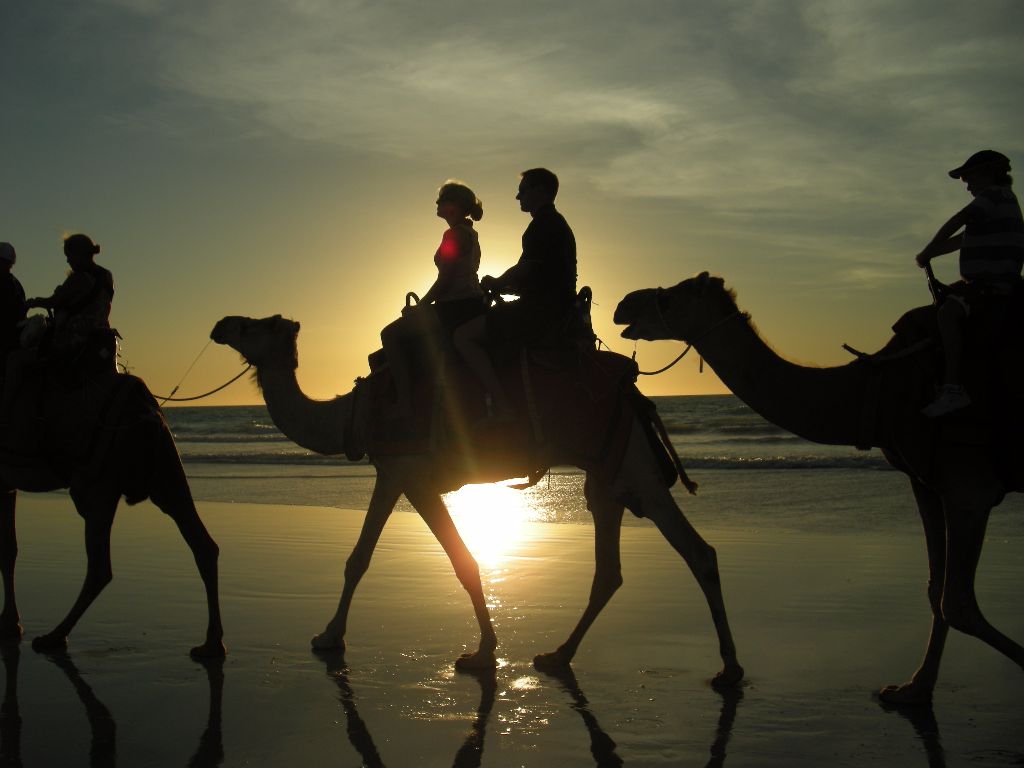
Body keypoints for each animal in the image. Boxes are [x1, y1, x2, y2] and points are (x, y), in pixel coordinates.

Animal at [0, 370, 223, 659]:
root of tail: (145, 405)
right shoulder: (7, 483)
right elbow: (10, 548)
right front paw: (10, 623)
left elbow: (6, 549)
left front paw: (10, 622)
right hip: (165, 474)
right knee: (203, 545)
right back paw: (212, 643)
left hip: (98, 485)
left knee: (100, 567)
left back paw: (55, 635)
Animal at [211, 315, 749, 688]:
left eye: (256, 325)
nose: (221, 325)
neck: (355, 414)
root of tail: (635, 394)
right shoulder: (407, 477)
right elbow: (446, 559)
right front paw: (485, 649)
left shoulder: (404, 472)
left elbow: (381, 558)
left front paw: (329, 636)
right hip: (607, 476)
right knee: (609, 570)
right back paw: (558, 655)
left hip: (637, 473)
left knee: (698, 552)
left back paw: (729, 668)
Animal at [614, 274, 1024, 708]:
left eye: (673, 297)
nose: (623, 304)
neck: (876, 394)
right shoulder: (927, 482)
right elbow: (938, 592)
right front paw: (912, 688)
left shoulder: (967, 485)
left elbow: (958, 602)